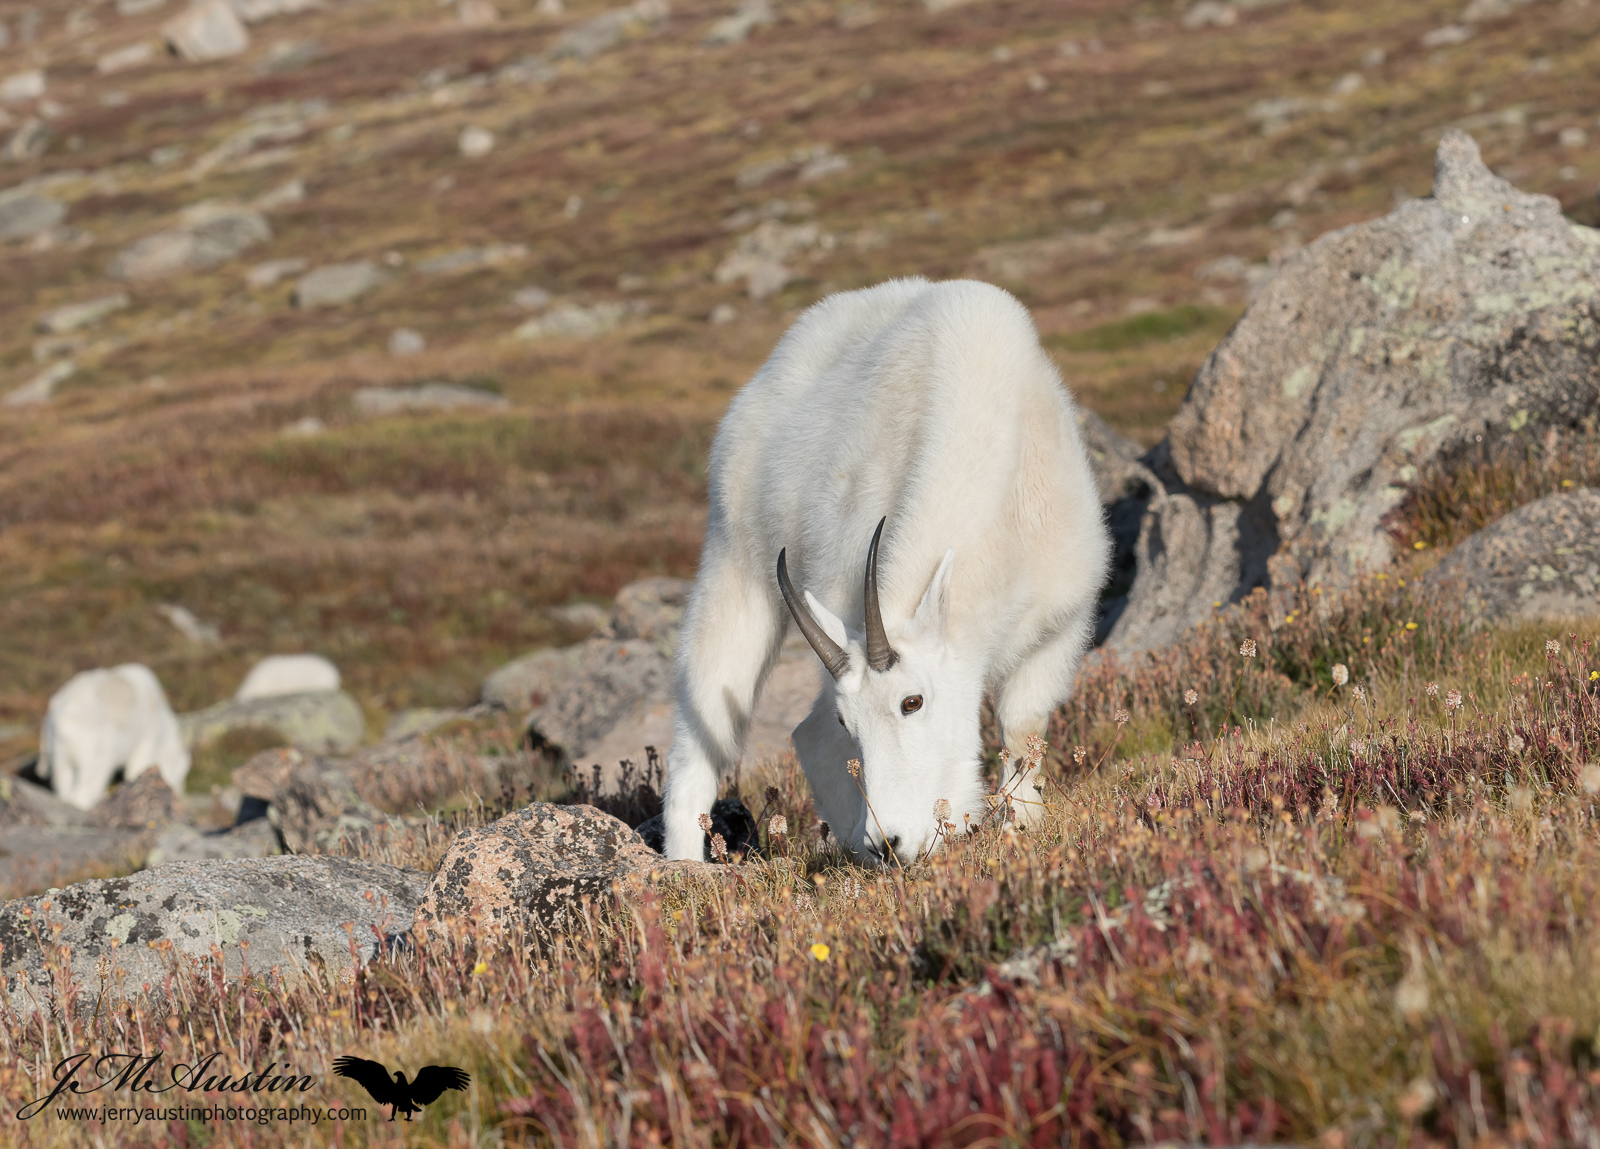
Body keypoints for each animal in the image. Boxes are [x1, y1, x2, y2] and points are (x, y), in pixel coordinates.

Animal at [663, 278, 1109, 862]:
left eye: (911, 702)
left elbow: (1023, 732)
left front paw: (1023, 829)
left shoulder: (1060, 626)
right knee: (713, 730)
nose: (890, 843)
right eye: (849, 721)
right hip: (733, 561)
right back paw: (686, 866)